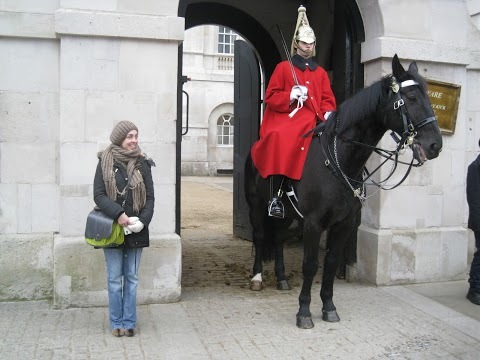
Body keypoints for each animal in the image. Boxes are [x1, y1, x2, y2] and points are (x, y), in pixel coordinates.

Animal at [246, 54, 444, 330]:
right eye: (412, 97)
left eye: (427, 96)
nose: (435, 144)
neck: (341, 160)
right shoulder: (313, 223)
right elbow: (311, 265)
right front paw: (304, 312)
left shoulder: (344, 223)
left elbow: (330, 263)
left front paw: (328, 306)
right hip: (256, 206)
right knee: (261, 236)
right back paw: (257, 277)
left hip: (286, 215)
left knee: (278, 239)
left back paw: (282, 278)